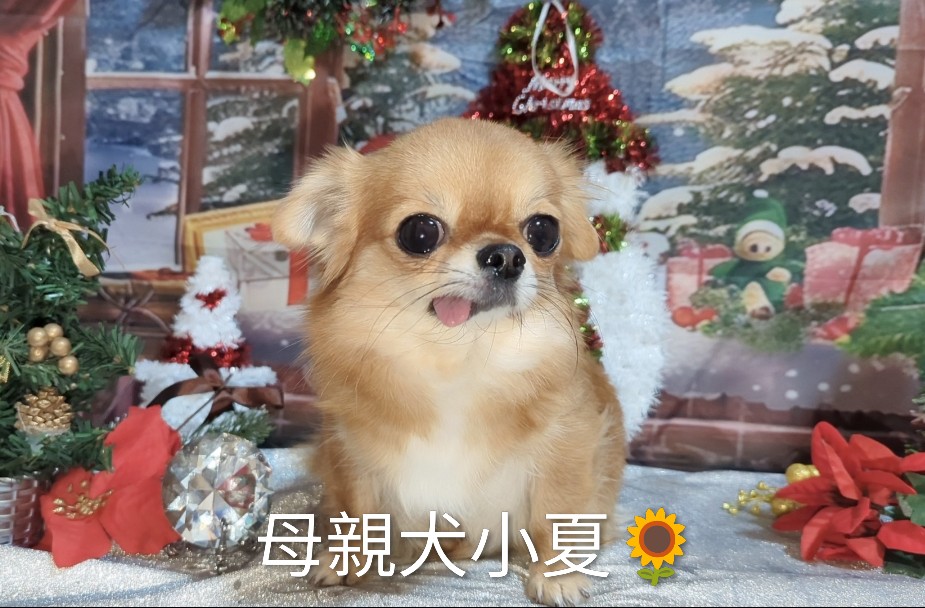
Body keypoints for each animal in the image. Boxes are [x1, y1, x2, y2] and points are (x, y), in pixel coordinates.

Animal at [272, 118, 625, 606]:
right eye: (420, 232)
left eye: (542, 231)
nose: (507, 255)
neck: (458, 358)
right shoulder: (349, 451)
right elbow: (356, 511)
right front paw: (348, 561)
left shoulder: (569, 441)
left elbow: (558, 510)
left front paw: (559, 576)